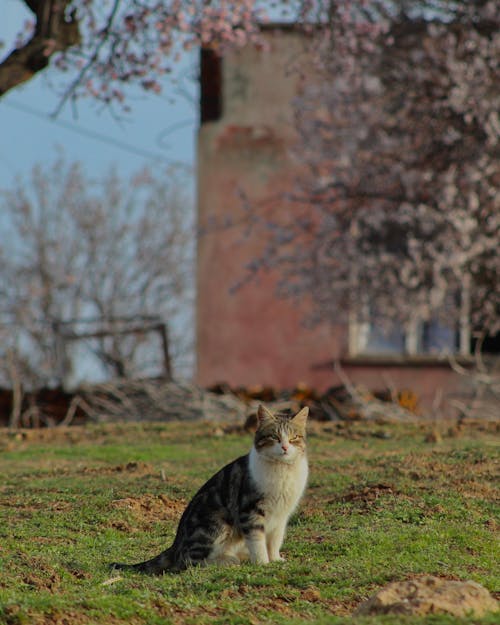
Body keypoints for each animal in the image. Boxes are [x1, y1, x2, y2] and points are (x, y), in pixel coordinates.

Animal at [111, 402, 308, 572]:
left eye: (294, 438)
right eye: (274, 437)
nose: (285, 447)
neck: (282, 470)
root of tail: (175, 545)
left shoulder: (281, 515)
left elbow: (275, 540)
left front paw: (275, 559)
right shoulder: (250, 510)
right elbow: (257, 540)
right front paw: (262, 563)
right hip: (216, 524)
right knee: (189, 561)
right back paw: (228, 560)